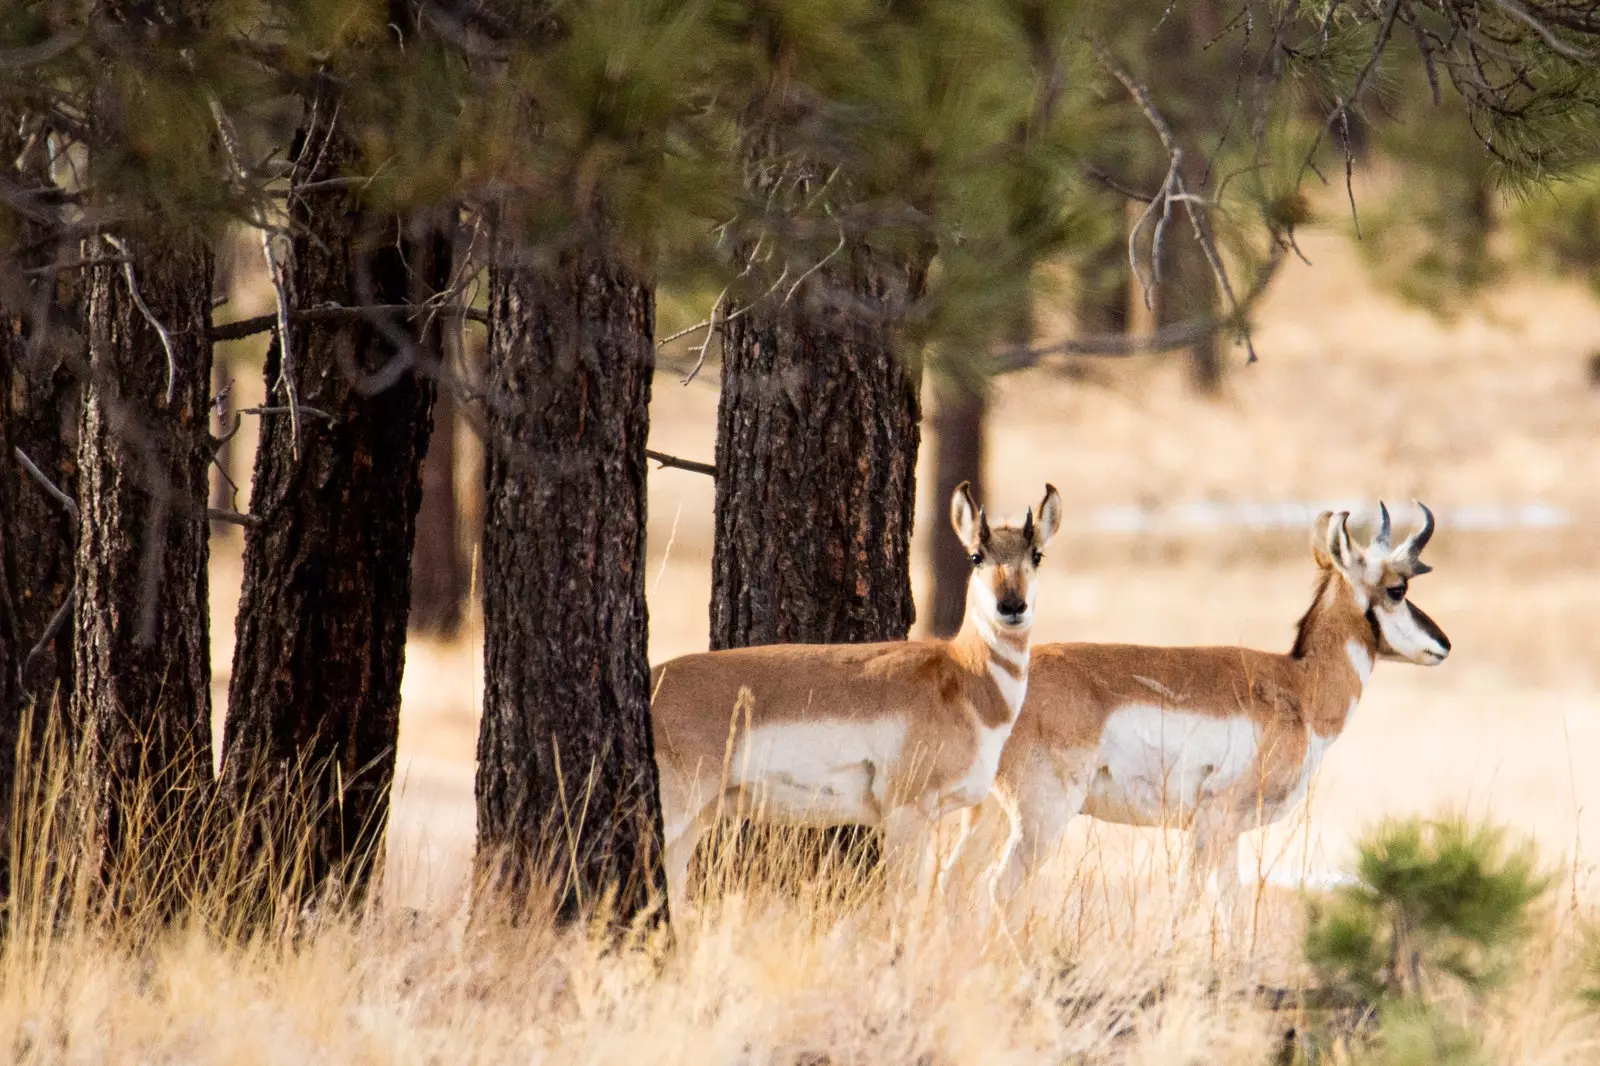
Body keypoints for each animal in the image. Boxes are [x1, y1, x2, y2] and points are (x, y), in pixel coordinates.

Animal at [649, 480, 1062, 915]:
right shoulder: (906, 814)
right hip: (676, 814)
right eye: (976, 555)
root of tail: (656, 678)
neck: (959, 674)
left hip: (695, 822)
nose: (1011, 606)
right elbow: (903, 902)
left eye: (1036, 555)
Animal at [960, 502, 1452, 902]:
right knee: (999, 886)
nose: (1444, 644)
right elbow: (1189, 898)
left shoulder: (1229, 835)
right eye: (1398, 589)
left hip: (989, 815)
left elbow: (1229, 904)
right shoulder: (1211, 824)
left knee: (953, 881)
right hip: (1043, 817)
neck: (1297, 685)